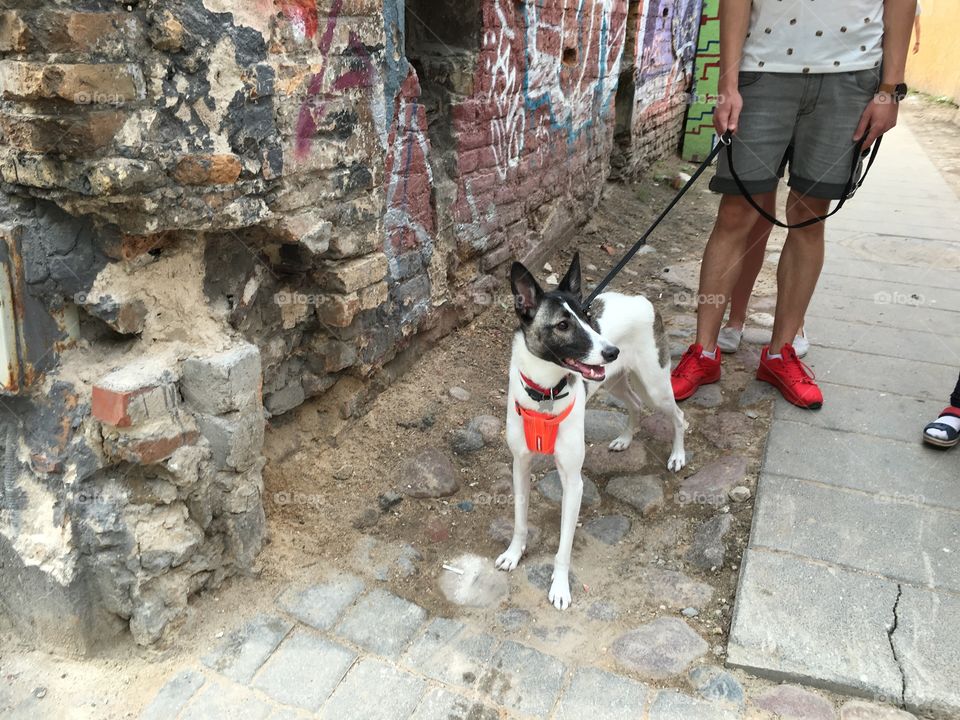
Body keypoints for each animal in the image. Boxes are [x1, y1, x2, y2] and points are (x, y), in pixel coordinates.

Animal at [498, 253, 688, 608]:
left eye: (587, 317)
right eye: (563, 324)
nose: (611, 351)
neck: (545, 393)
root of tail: (641, 300)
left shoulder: (573, 482)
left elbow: (564, 547)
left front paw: (560, 587)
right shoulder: (520, 465)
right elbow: (519, 521)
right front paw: (514, 553)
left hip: (655, 386)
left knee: (679, 416)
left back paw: (678, 456)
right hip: (612, 380)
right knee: (635, 405)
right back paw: (625, 439)